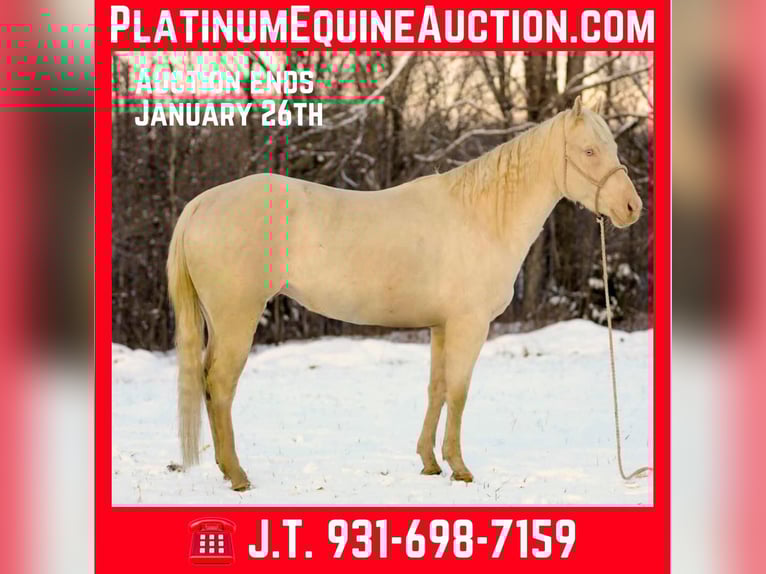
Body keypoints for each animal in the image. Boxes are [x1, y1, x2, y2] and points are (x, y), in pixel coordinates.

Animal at [167, 95, 642, 491]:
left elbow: (436, 388)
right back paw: (238, 475)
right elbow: (459, 390)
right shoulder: (469, 325)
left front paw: (430, 462)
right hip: (238, 319)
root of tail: (201, 204)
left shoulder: (440, 327)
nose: (632, 208)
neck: (481, 217)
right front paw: (460, 468)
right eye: (589, 151)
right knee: (220, 385)